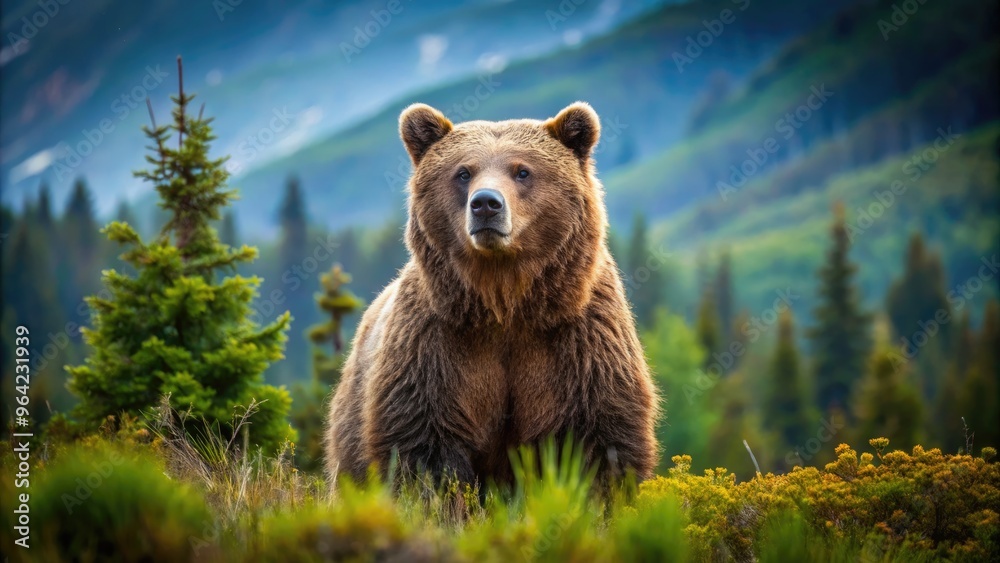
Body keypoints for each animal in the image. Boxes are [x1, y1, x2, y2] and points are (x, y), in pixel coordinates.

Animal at [324, 101, 659, 489]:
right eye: (463, 172)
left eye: (523, 171)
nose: (486, 203)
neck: (504, 301)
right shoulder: (434, 348)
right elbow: (424, 451)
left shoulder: (581, 343)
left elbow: (598, 444)